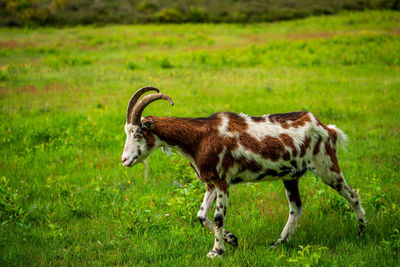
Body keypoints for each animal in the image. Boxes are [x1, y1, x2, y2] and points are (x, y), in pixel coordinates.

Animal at [120, 87, 368, 258]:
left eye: (138, 132)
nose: (124, 160)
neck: (200, 137)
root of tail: (326, 128)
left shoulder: (223, 181)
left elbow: (217, 218)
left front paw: (217, 251)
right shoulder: (211, 182)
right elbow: (201, 216)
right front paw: (232, 239)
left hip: (326, 166)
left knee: (352, 194)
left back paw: (361, 232)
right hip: (291, 176)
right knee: (296, 208)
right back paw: (278, 243)